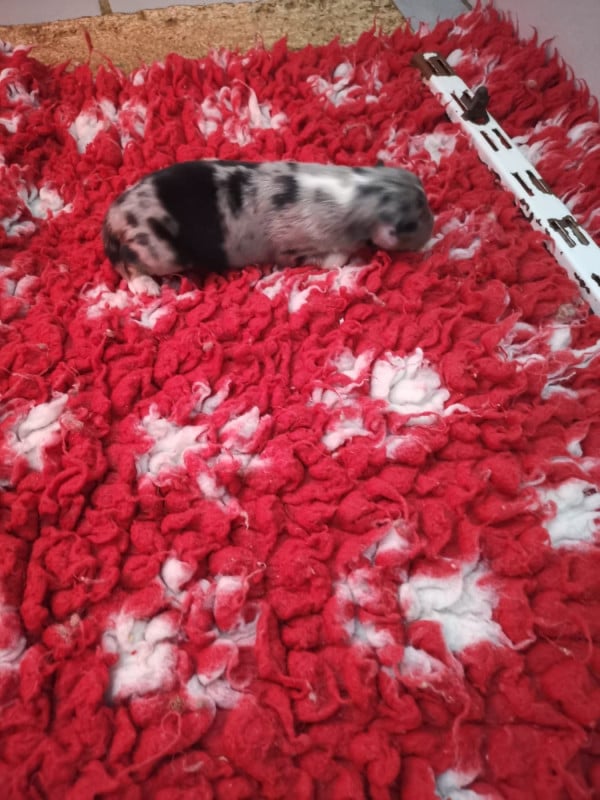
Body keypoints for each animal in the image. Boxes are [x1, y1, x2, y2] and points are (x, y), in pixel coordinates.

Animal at [102, 159, 434, 295]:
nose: (433, 228)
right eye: (415, 223)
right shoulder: (296, 248)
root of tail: (114, 215)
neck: (358, 190)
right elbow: (337, 258)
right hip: (161, 251)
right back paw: (146, 286)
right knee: (128, 263)